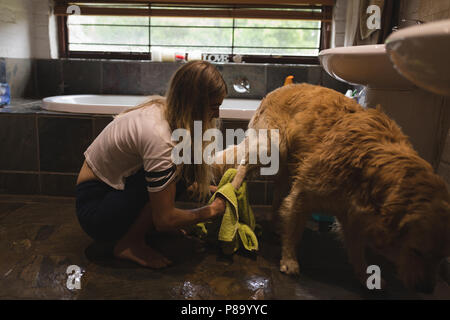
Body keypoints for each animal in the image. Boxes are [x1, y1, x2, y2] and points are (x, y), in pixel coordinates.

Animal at [215, 82, 450, 292]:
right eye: (417, 251)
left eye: (441, 257)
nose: (427, 289)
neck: (370, 168)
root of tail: (280, 88)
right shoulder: (303, 193)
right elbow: (294, 230)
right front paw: (289, 260)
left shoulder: (354, 215)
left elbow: (357, 250)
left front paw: (366, 276)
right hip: (273, 146)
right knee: (243, 164)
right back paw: (233, 187)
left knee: (277, 193)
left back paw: (274, 224)